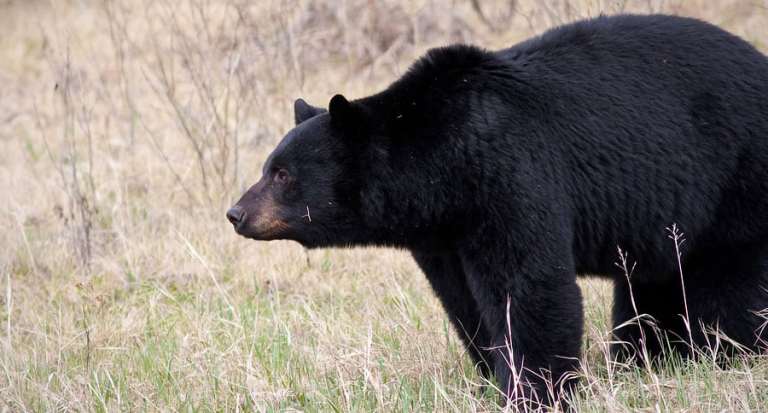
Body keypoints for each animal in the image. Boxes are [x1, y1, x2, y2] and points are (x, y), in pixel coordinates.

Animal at [226, 14, 768, 404]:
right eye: (269, 166)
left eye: (282, 174)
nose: (235, 213)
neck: (442, 164)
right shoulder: (443, 233)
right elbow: (464, 300)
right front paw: (491, 373)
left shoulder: (509, 175)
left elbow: (526, 286)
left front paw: (534, 390)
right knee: (652, 281)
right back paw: (652, 358)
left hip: (734, 177)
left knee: (728, 280)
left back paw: (728, 354)